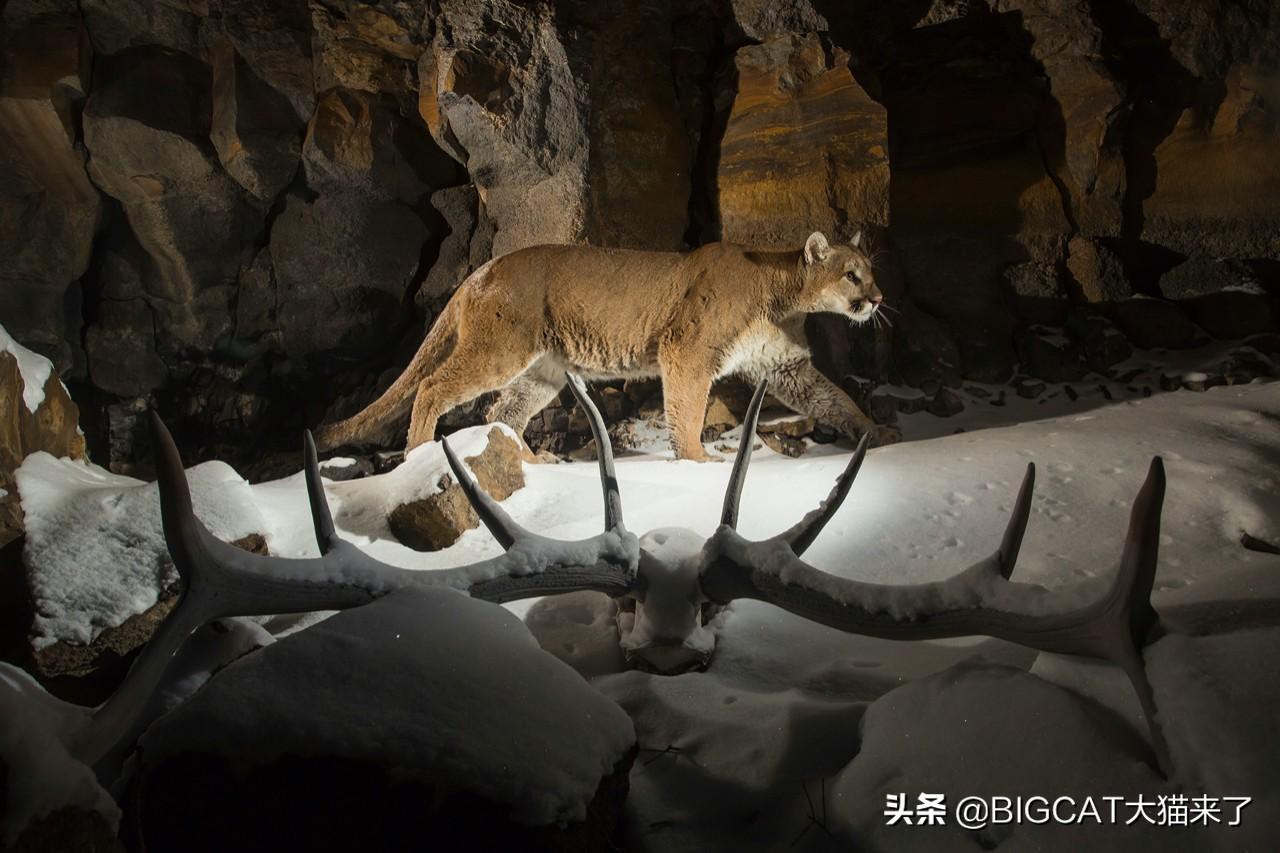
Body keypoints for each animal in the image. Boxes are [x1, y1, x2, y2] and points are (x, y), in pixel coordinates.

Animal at [312, 229, 890, 458]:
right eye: (851, 275)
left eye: (871, 270)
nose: (878, 298)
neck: (782, 293)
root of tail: (481, 270)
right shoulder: (686, 351)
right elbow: (686, 409)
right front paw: (697, 462)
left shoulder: (785, 367)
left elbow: (835, 398)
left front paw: (876, 431)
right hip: (500, 350)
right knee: (433, 386)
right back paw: (418, 454)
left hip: (541, 371)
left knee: (502, 410)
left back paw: (532, 462)